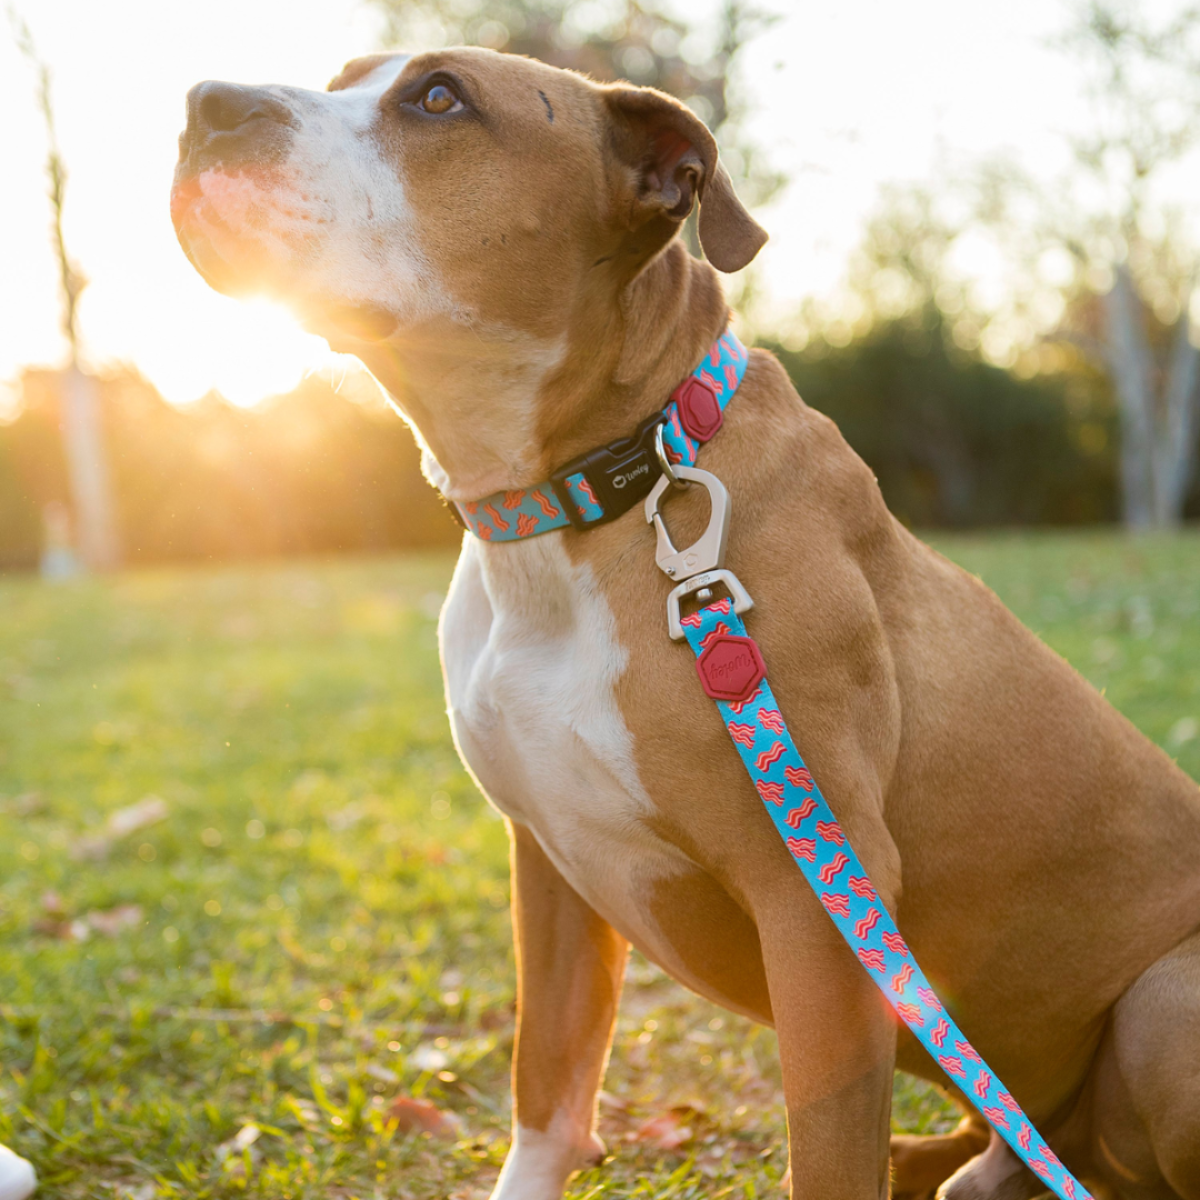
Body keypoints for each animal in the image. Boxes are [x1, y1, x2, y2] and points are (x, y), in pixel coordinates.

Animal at [174, 46, 1200, 1200]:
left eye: (439, 98)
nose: (206, 105)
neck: (592, 489)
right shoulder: (548, 867)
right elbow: (548, 1086)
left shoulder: (820, 912)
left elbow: (825, 1152)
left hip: (1168, 1004)